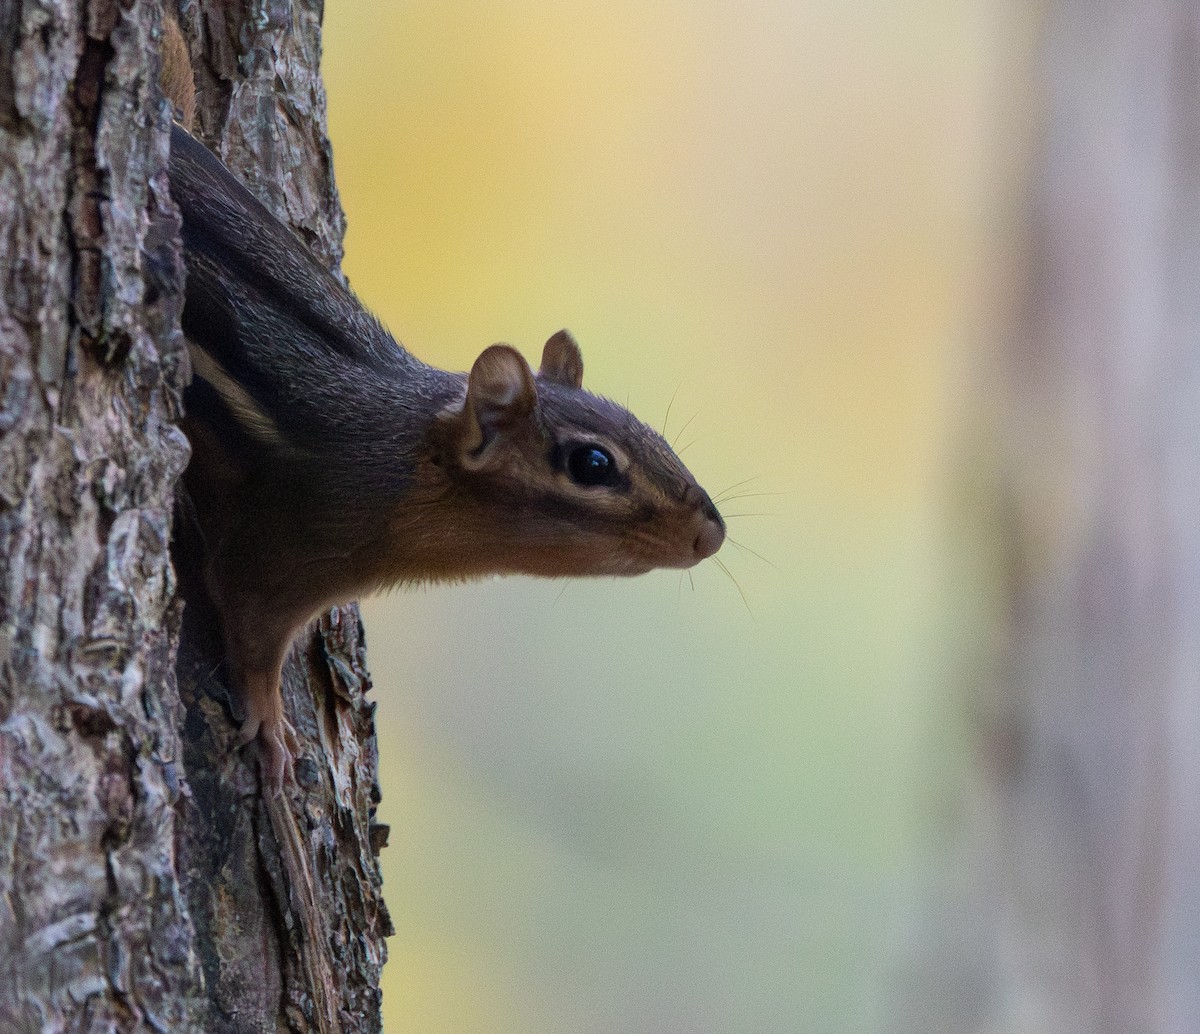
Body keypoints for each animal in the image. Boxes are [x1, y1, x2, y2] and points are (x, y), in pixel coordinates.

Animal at [161, 19, 725, 788]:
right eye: (593, 464)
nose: (711, 534)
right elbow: (249, 628)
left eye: (657, 438)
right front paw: (272, 725)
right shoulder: (282, 544)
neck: (405, 457)